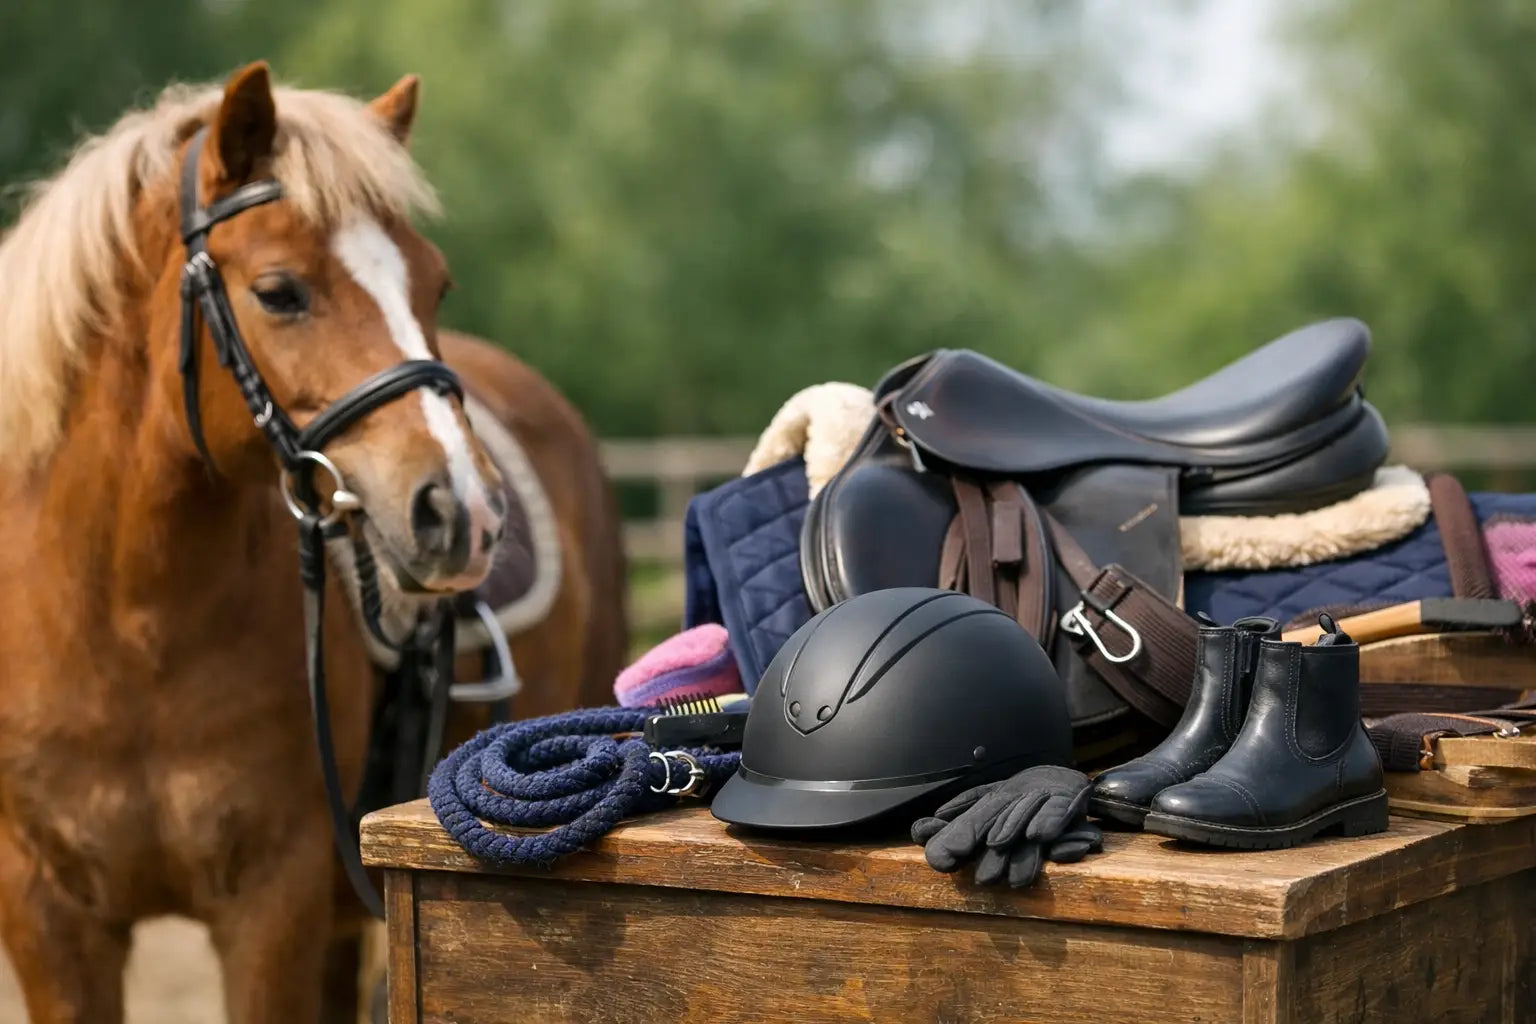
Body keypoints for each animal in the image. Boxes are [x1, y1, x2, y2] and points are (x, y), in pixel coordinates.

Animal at [0, 61, 627, 1023]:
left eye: (435, 286)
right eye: (279, 291)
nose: (467, 514)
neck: (124, 624)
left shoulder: (274, 903)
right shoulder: (47, 916)